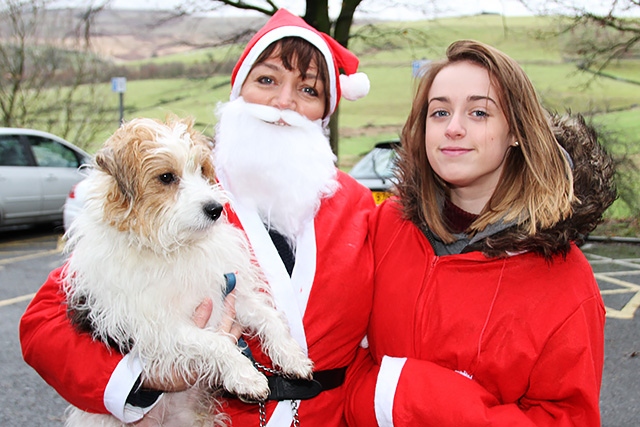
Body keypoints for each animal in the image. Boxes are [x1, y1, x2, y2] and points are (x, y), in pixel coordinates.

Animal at [62, 115, 312, 426]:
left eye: (202, 170)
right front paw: (244, 375)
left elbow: (271, 318)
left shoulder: (229, 292)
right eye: (166, 177)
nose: (216, 209)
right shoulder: (160, 328)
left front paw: (292, 356)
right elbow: (215, 342)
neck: (176, 248)